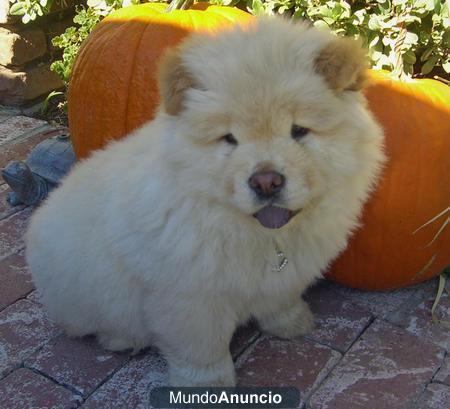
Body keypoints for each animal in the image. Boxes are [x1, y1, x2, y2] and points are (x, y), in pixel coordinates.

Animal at [25, 16, 384, 386]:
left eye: (298, 131)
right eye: (229, 139)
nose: (266, 181)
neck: (263, 238)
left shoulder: (286, 274)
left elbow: (280, 300)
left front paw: (293, 323)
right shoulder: (190, 298)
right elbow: (202, 347)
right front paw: (207, 384)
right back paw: (122, 339)